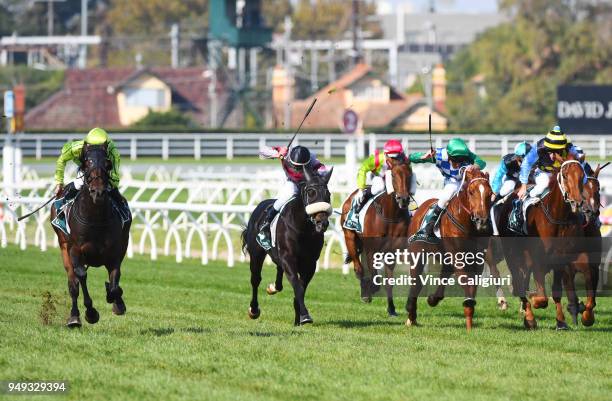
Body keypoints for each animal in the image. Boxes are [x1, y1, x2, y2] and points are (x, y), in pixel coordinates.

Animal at [50, 144, 130, 328]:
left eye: (108, 164)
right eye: (86, 163)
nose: (98, 191)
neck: (95, 219)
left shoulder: (115, 253)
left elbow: (115, 283)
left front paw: (116, 302)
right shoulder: (75, 250)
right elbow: (81, 276)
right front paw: (91, 313)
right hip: (63, 248)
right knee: (73, 284)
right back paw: (74, 317)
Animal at [241, 166, 332, 324]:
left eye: (328, 194)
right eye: (311, 192)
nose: (322, 222)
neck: (303, 230)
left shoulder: (310, 263)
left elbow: (301, 287)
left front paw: (299, 319)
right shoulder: (288, 258)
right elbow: (297, 285)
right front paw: (305, 316)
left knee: (278, 271)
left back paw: (273, 288)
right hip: (256, 253)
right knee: (255, 279)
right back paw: (253, 310)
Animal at [340, 156, 412, 316]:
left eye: (410, 175)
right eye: (393, 175)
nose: (403, 199)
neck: (390, 215)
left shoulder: (392, 252)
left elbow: (389, 282)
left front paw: (391, 309)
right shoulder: (371, 250)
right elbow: (374, 276)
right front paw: (370, 290)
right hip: (350, 237)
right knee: (359, 268)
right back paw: (365, 291)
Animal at [406, 166, 492, 332]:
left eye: (490, 193)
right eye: (471, 192)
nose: (482, 221)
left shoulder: (477, 261)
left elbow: (472, 283)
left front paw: (469, 321)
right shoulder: (457, 257)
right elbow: (466, 281)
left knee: (443, 275)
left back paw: (432, 299)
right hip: (417, 253)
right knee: (416, 282)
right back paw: (411, 315)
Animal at [498, 158, 592, 330]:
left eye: (582, 176)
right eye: (565, 175)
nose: (577, 201)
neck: (558, 217)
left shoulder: (561, 259)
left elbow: (556, 291)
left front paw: (561, 321)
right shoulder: (538, 259)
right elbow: (541, 299)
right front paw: (534, 300)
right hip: (511, 254)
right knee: (519, 282)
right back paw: (529, 318)